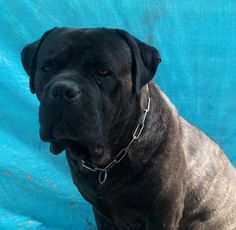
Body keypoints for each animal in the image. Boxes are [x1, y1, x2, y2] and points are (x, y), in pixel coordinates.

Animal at [20, 27, 236, 229]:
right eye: (48, 67)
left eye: (103, 72)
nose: (63, 89)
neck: (107, 163)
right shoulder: (101, 213)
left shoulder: (162, 216)